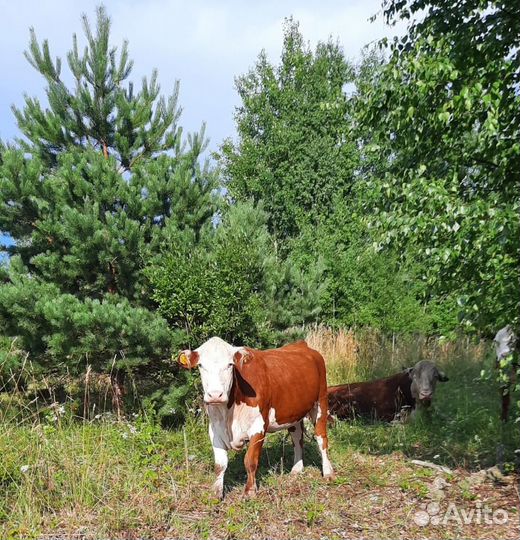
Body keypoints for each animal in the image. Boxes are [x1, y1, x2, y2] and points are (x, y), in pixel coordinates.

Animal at [178, 338, 334, 498]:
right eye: (201, 365)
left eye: (230, 364)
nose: (215, 395)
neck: (229, 413)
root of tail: (303, 345)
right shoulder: (215, 428)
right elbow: (220, 464)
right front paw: (217, 492)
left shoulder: (258, 426)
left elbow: (250, 460)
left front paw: (250, 491)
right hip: (293, 412)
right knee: (297, 438)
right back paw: (296, 469)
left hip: (321, 402)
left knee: (321, 438)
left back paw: (328, 472)